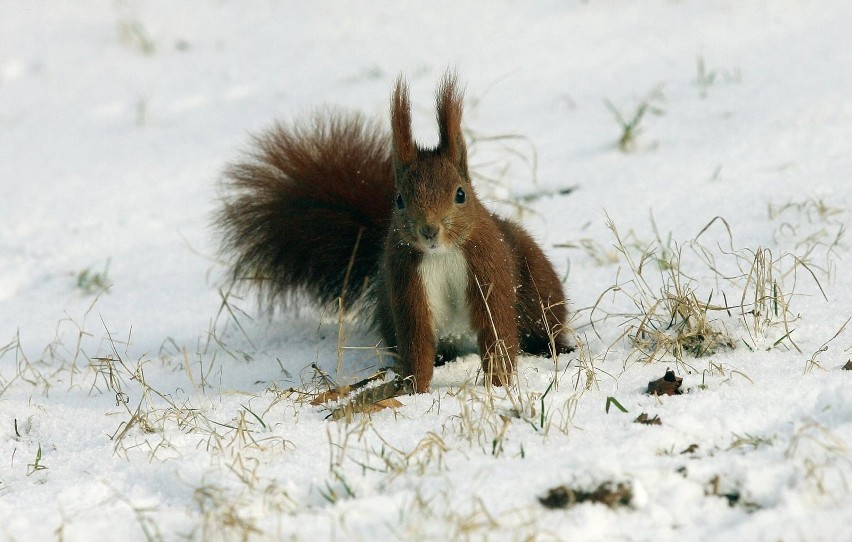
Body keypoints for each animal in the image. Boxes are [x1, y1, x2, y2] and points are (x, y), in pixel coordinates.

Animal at [215, 73, 572, 396]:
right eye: (399, 199)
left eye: (460, 194)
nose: (429, 230)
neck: (441, 254)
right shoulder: (406, 280)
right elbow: (417, 341)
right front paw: (413, 389)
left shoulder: (488, 266)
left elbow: (496, 330)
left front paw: (498, 387)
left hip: (539, 289)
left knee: (543, 325)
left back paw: (557, 348)